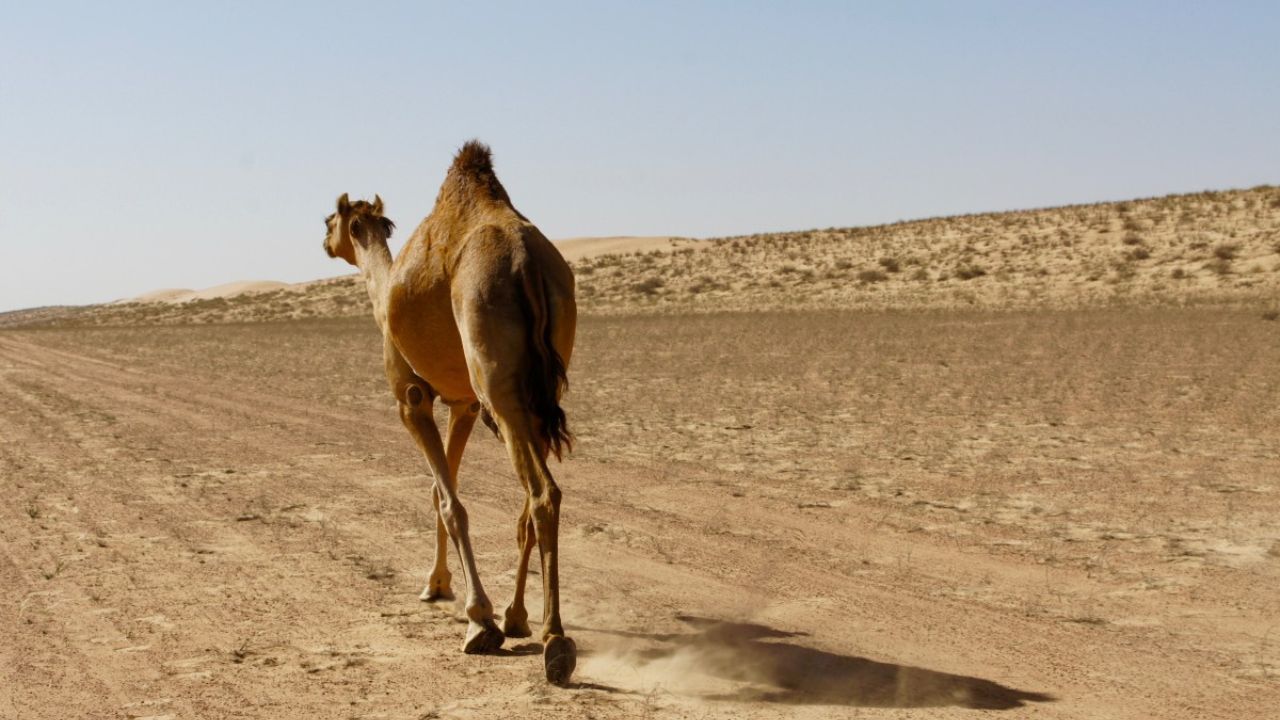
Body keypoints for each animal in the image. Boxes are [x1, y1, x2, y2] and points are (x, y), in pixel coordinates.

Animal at [320, 141, 581, 681]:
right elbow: (445, 490)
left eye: (329, 219)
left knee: (543, 494)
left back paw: (555, 642)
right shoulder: (463, 404)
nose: (322, 241)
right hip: (540, 386)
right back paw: (522, 617)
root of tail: (525, 262)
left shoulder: (410, 398)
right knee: (528, 505)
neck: (384, 294)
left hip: (496, 376)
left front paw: (478, 619)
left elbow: (450, 501)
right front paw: (442, 588)